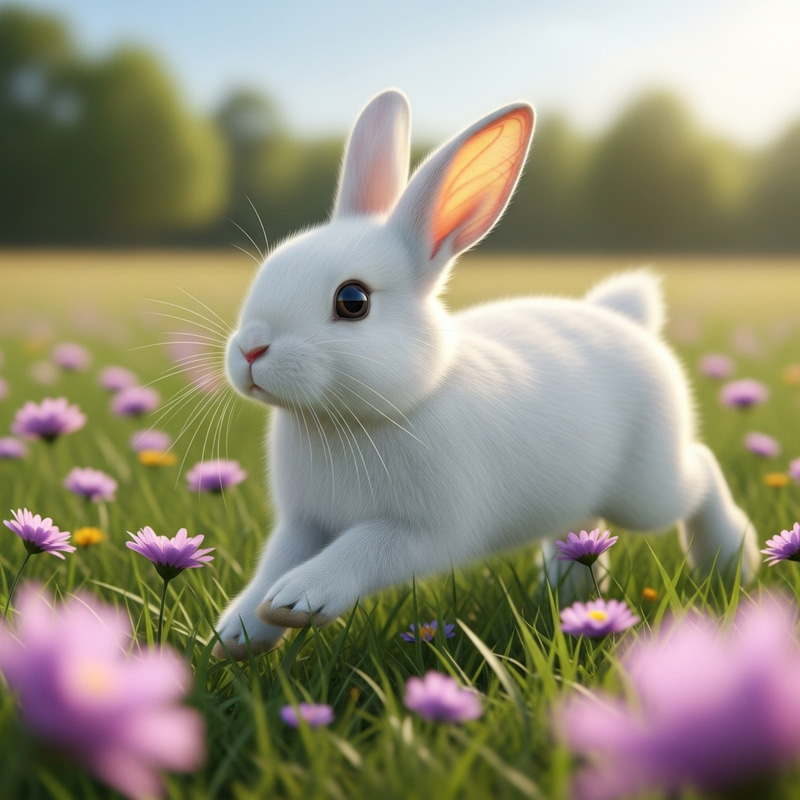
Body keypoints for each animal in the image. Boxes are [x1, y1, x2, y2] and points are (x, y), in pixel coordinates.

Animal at [213, 88, 759, 659]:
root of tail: (627, 319)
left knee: (699, 471)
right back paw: (570, 598)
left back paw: (729, 562)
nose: (250, 350)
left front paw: (297, 598)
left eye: (353, 301)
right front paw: (239, 632)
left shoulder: (420, 531)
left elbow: (362, 550)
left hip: (647, 488)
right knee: (581, 528)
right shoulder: (303, 523)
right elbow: (274, 562)